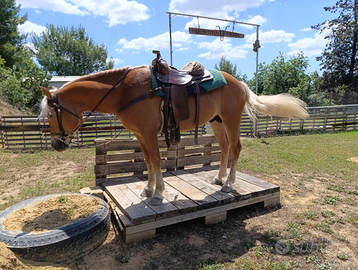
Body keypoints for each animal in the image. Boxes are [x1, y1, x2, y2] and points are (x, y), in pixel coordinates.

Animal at [39, 64, 308, 206]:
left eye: (51, 114)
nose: (55, 144)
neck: (125, 91)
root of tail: (239, 83)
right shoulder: (140, 135)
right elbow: (148, 161)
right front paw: (147, 189)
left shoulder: (149, 133)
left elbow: (157, 161)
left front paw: (158, 193)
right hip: (217, 122)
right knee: (224, 148)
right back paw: (218, 178)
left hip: (231, 121)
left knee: (236, 148)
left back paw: (229, 183)